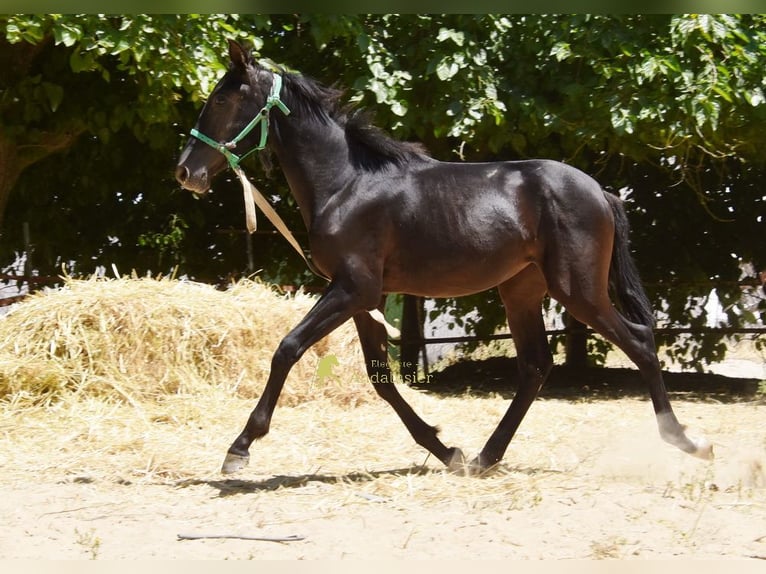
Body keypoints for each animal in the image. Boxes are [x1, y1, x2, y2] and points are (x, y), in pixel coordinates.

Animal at [175, 40, 713, 475]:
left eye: (221, 98)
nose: (185, 172)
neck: (347, 184)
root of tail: (602, 192)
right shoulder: (367, 298)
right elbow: (381, 380)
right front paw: (445, 449)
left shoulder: (352, 289)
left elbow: (287, 348)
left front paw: (240, 448)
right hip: (522, 290)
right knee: (536, 366)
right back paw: (483, 458)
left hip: (578, 290)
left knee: (639, 342)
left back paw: (688, 441)